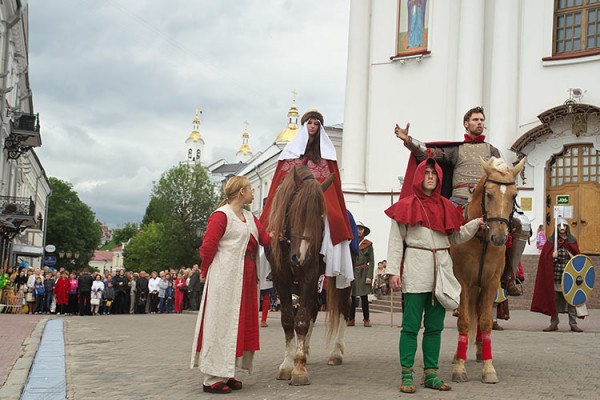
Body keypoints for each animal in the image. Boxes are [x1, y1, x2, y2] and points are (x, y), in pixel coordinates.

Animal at [266, 164, 352, 386]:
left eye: (320, 216)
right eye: (295, 209)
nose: (301, 256)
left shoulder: (309, 273)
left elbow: (302, 318)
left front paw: (298, 369)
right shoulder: (281, 276)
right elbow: (289, 318)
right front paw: (289, 364)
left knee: (343, 309)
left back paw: (336, 353)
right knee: (313, 308)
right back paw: (305, 351)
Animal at [452, 156, 524, 384]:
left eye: (514, 195)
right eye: (489, 194)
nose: (499, 238)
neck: (481, 239)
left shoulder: (490, 283)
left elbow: (485, 322)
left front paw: (488, 368)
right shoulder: (463, 283)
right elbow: (464, 321)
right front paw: (459, 369)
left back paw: (477, 351)